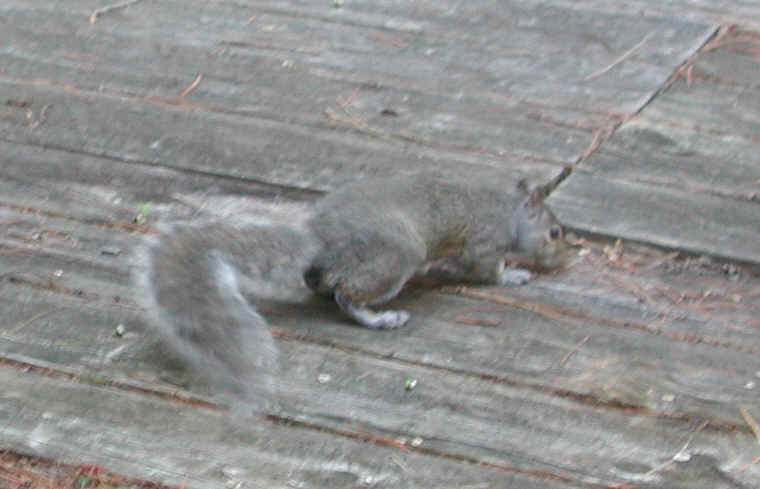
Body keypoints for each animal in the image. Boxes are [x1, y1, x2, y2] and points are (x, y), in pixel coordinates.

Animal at [134, 168, 573, 411]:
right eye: (554, 233)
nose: (564, 261)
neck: (509, 211)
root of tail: (321, 237)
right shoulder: (483, 243)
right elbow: (485, 270)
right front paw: (513, 276)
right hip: (394, 256)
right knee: (348, 294)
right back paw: (381, 317)